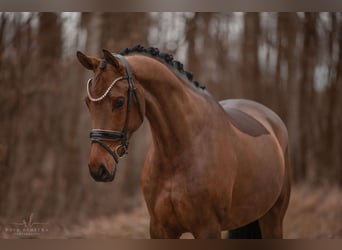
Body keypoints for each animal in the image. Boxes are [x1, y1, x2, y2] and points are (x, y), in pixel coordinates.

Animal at [77, 45, 292, 238]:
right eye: (87, 103)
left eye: (119, 101)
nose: (98, 168)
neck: (180, 152)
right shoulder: (159, 229)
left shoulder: (207, 229)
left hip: (273, 217)